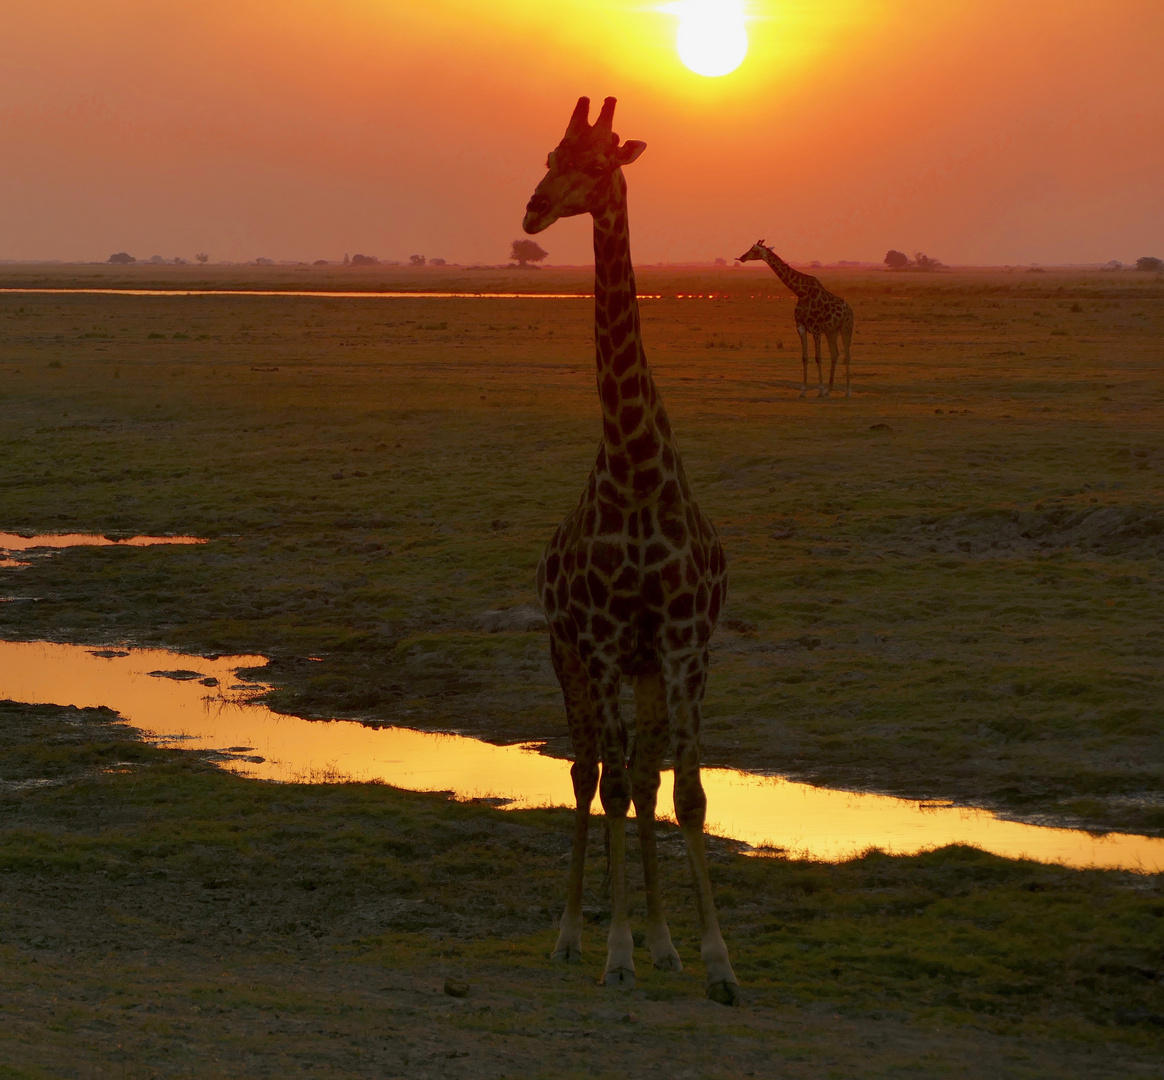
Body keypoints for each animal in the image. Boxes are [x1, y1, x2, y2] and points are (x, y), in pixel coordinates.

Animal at [735, 238, 856, 398]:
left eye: (754, 250)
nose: (741, 257)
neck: (800, 292)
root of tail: (850, 310)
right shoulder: (801, 327)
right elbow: (804, 358)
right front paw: (804, 391)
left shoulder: (816, 329)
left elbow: (818, 357)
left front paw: (820, 390)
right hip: (832, 331)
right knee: (835, 354)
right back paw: (830, 390)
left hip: (846, 327)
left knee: (847, 355)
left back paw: (847, 391)